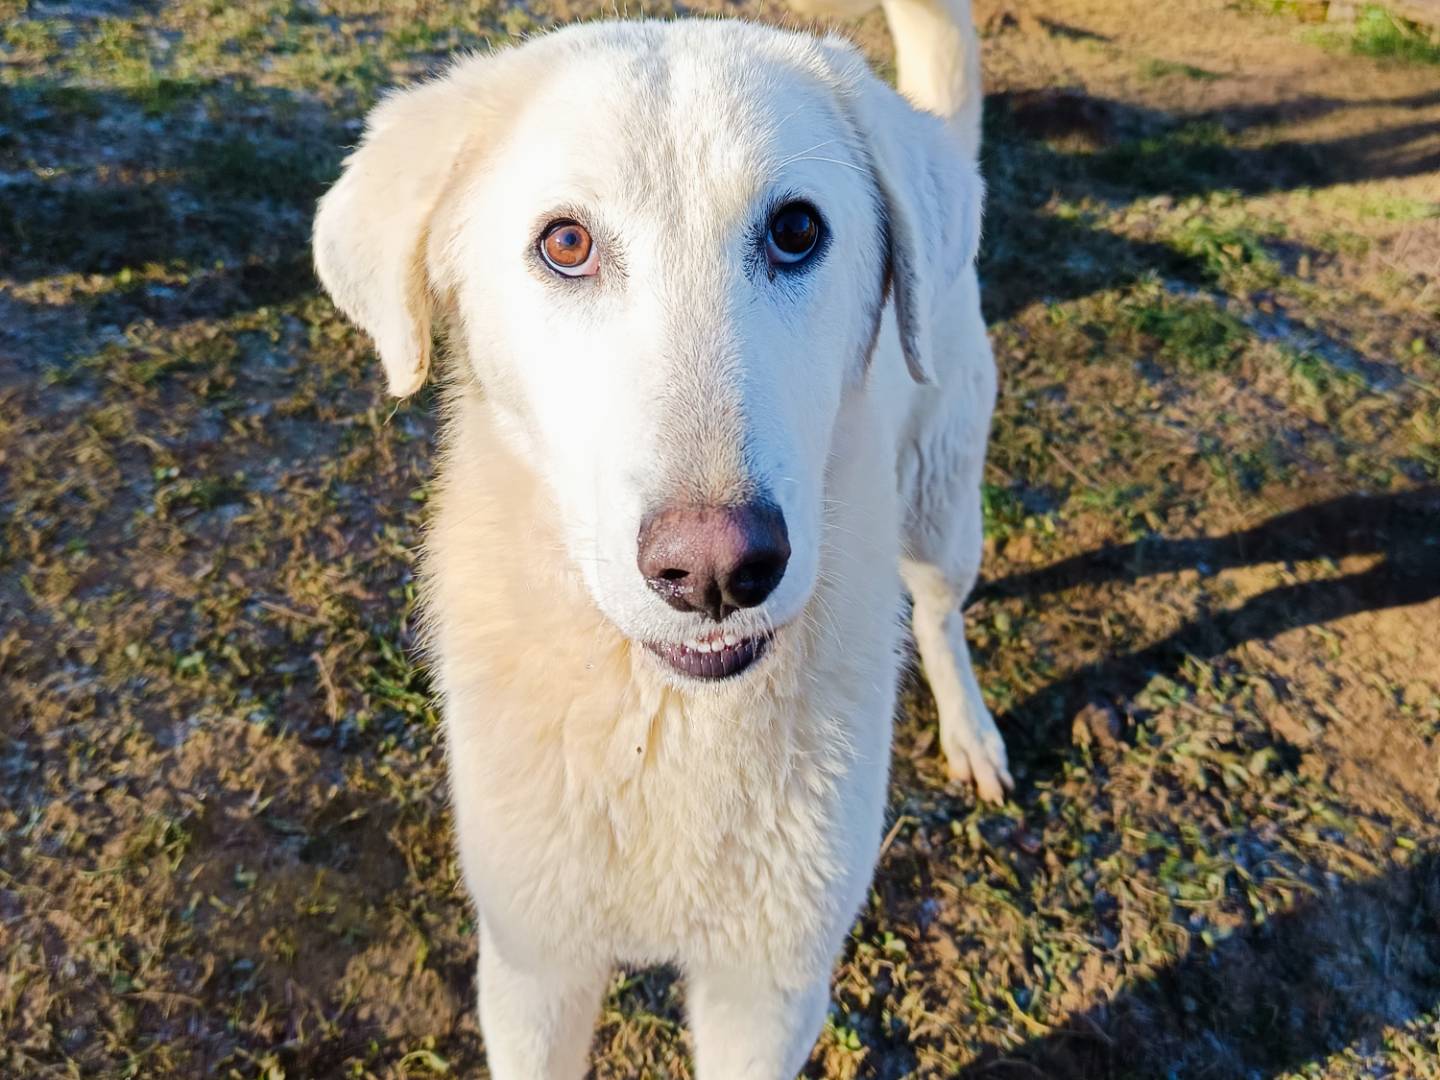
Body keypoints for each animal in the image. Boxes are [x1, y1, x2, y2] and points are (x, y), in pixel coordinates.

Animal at [315, 2, 1013, 1077]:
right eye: (565, 243)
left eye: (797, 231)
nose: (719, 571)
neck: (665, 719)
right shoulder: (533, 971)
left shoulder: (768, 987)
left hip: (941, 505)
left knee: (939, 615)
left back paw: (970, 730)